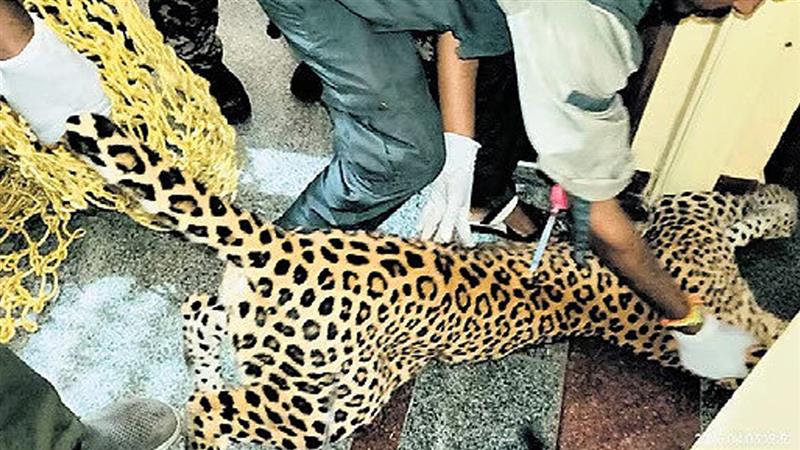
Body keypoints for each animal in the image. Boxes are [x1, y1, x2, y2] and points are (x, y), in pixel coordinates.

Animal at [61, 113, 797, 450]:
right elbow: (752, 212)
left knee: (198, 314)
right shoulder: (693, 222)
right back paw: (203, 428)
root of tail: (282, 245)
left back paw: (205, 368)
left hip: (282, 353)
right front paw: (782, 198)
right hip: (326, 403)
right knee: (212, 407)